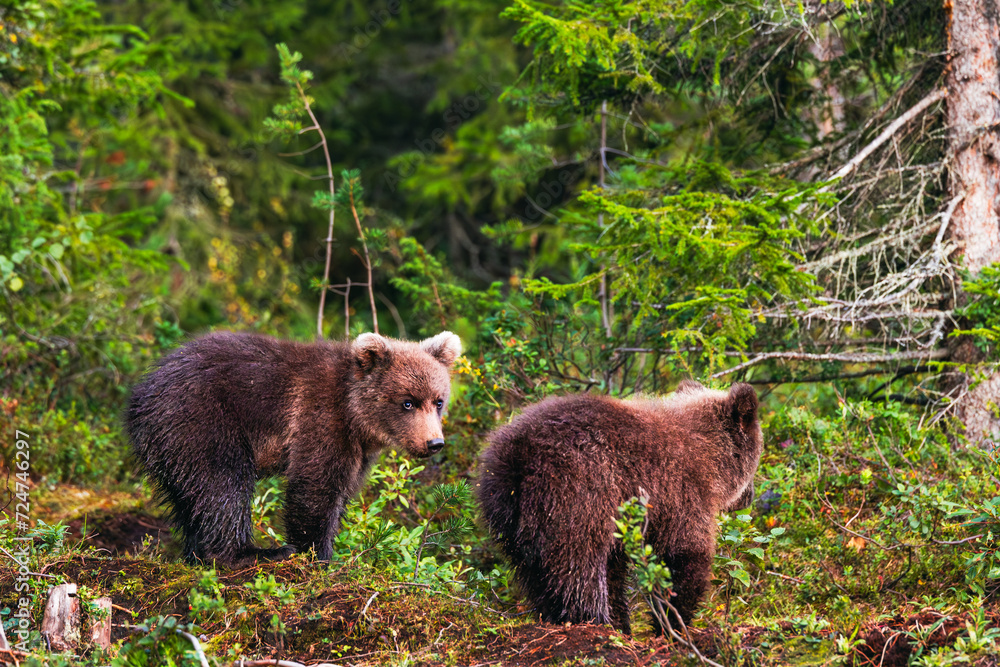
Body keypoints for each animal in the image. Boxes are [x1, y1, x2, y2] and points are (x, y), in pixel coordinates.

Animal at [125, 330, 462, 564]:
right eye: (407, 402)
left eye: (438, 401)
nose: (434, 442)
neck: (356, 417)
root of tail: (140, 396)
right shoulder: (320, 418)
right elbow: (315, 487)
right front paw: (317, 554)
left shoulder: (358, 451)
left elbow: (342, 490)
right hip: (203, 419)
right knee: (221, 483)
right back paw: (251, 553)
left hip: (171, 444)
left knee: (190, 497)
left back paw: (196, 554)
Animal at [476, 380, 762, 634]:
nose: (750, 496)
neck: (709, 457)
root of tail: (518, 454)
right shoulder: (680, 493)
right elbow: (685, 554)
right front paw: (672, 624)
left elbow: (615, 569)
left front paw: (624, 623)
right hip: (577, 490)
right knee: (578, 566)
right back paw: (590, 619)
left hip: (505, 508)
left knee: (532, 570)